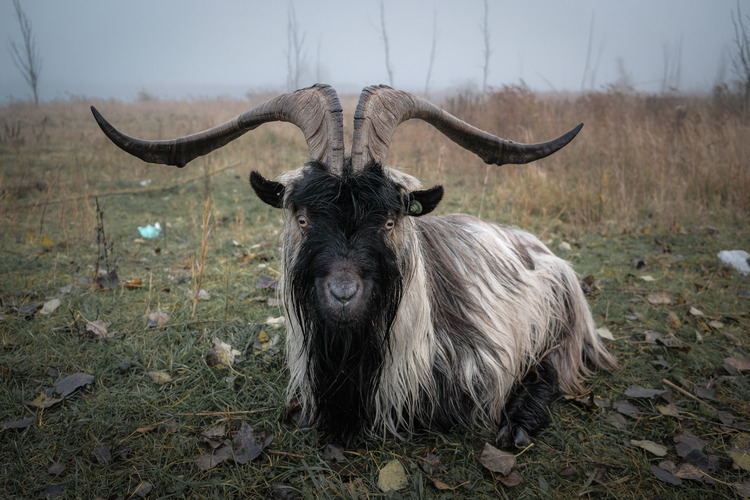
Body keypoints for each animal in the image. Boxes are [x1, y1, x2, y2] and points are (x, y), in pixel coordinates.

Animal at [91, 84, 617, 448]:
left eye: (389, 219)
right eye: (302, 217)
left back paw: (520, 424)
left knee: (553, 368)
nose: (343, 294)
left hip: (560, 317)